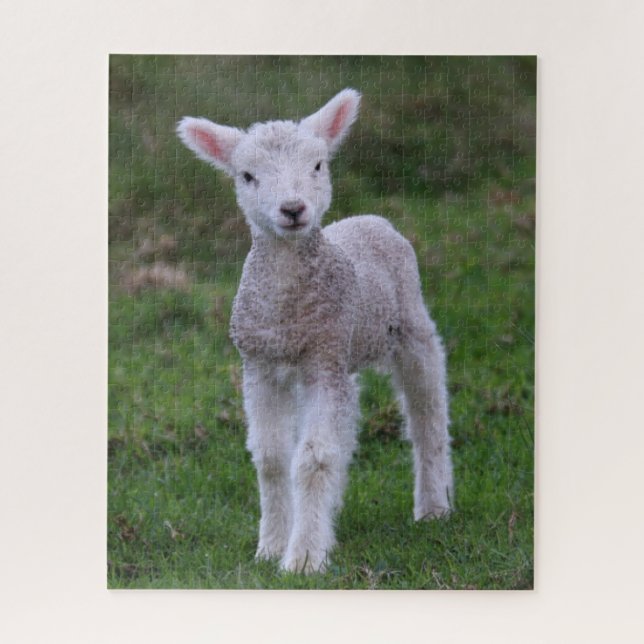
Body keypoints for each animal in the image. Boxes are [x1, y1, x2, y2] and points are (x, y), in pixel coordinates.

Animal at [177, 88, 453, 574]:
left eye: (319, 165)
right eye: (247, 176)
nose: (292, 209)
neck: (287, 309)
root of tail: (370, 219)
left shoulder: (322, 362)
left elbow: (313, 458)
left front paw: (304, 557)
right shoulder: (261, 366)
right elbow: (272, 459)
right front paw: (271, 547)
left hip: (409, 325)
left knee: (427, 414)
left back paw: (433, 506)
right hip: (344, 351)